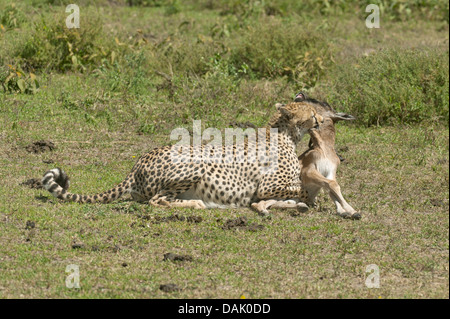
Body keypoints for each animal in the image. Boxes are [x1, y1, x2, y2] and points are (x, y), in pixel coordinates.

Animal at [41, 103, 324, 212]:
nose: (322, 120)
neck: (285, 134)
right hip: (195, 164)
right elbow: (302, 189)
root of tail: (137, 163)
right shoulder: (266, 186)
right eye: (312, 113)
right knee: (156, 200)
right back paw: (196, 203)